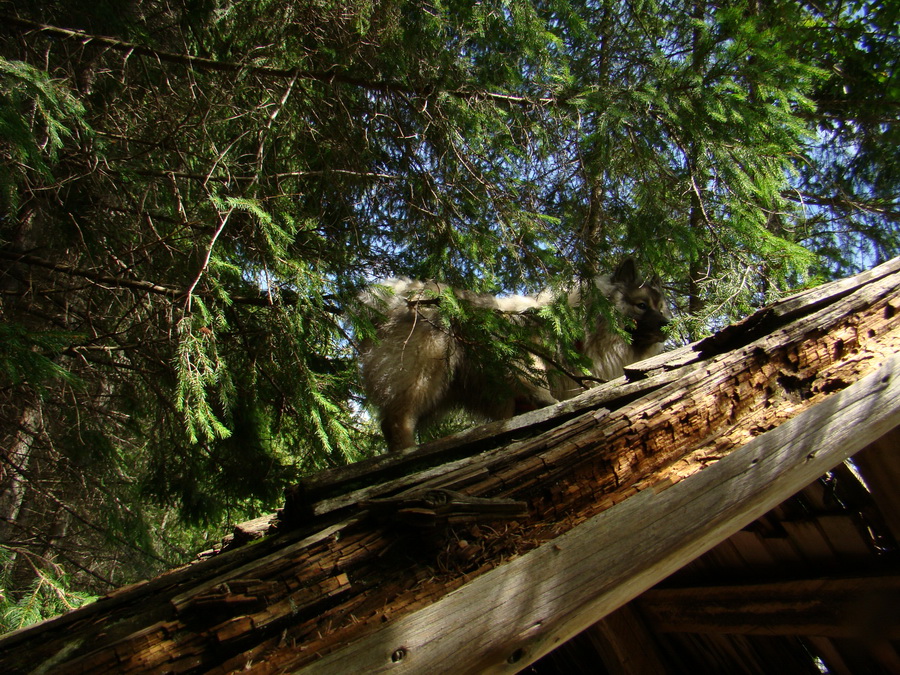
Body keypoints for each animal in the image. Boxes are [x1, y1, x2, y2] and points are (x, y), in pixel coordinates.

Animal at [358, 262, 668, 452]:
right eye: (641, 305)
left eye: (660, 307)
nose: (667, 324)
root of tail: (390, 298)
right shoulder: (529, 355)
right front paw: (548, 403)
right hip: (425, 373)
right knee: (397, 420)